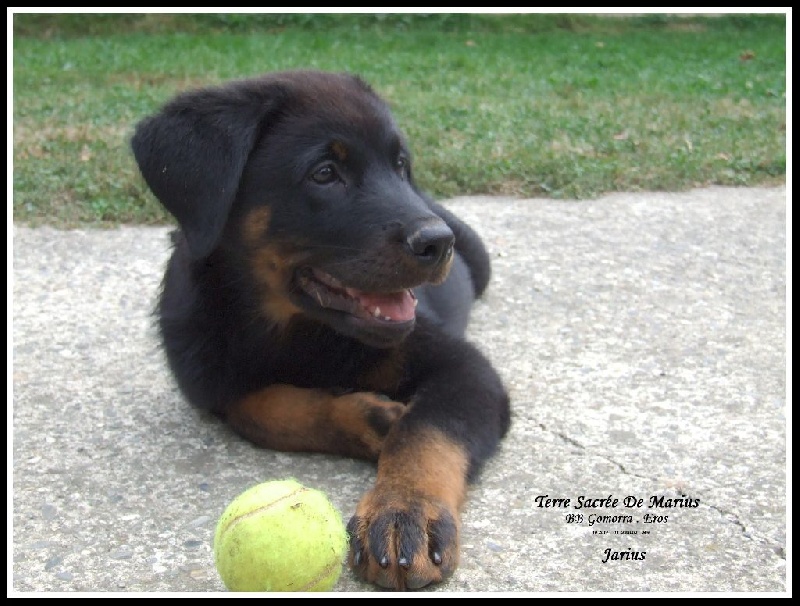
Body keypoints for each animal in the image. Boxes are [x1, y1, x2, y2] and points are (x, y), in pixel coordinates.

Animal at [130, 69, 506, 592]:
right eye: (324, 173)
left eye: (400, 165)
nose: (438, 242)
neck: (301, 331)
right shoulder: (212, 379)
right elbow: (263, 408)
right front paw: (375, 418)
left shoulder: (464, 368)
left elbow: (428, 432)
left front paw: (405, 511)